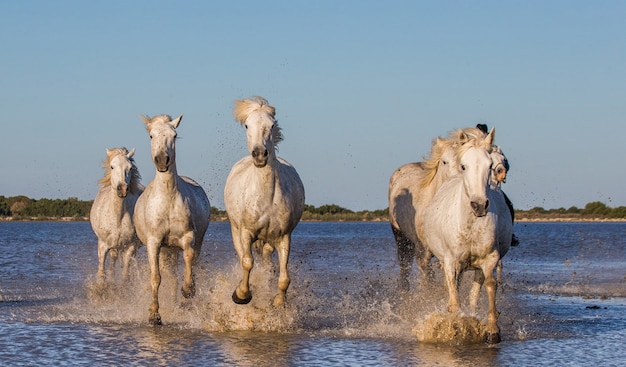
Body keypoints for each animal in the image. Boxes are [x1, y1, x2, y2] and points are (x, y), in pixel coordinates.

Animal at [89, 148, 143, 284]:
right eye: (112, 167)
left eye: (130, 168)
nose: (122, 189)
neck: (118, 217)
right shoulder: (103, 245)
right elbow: (101, 274)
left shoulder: (130, 246)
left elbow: (125, 275)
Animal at [132, 114, 210, 324]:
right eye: (151, 136)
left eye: (174, 135)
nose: (162, 161)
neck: (167, 199)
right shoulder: (154, 243)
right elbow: (156, 278)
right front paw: (154, 316)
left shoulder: (189, 237)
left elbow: (189, 260)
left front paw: (188, 291)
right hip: (167, 251)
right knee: (171, 276)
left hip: (189, 245)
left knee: (191, 266)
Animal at [223, 95, 304, 308]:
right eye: (247, 125)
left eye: (272, 124)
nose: (259, 154)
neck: (266, 198)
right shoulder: (246, 232)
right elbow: (247, 262)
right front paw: (241, 294)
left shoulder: (284, 237)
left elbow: (284, 278)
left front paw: (278, 302)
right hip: (235, 231)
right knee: (245, 256)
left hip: (269, 240)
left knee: (267, 257)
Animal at [416, 128, 510, 344]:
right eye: (464, 166)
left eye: (489, 165)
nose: (479, 205)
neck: (470, 223)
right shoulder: (450, 261)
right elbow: (454, 298)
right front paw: (454, 326)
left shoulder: (490, 259)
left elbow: (489, 286)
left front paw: (493, 329)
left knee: (474, 295)